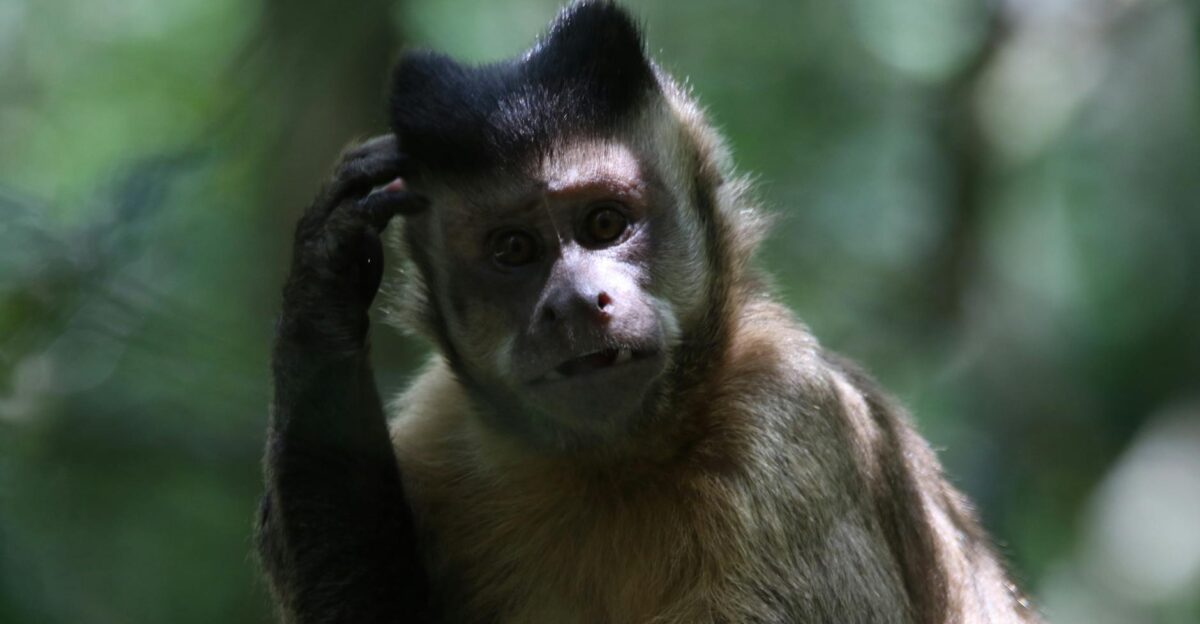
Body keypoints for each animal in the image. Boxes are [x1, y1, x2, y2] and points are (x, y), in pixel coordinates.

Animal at [257, 1, 1041, 623]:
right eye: (514, 248)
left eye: (605, 223)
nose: (576, 300)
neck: (618, 466)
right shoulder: (440, 421)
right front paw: (323, 293)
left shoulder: (792, 418)